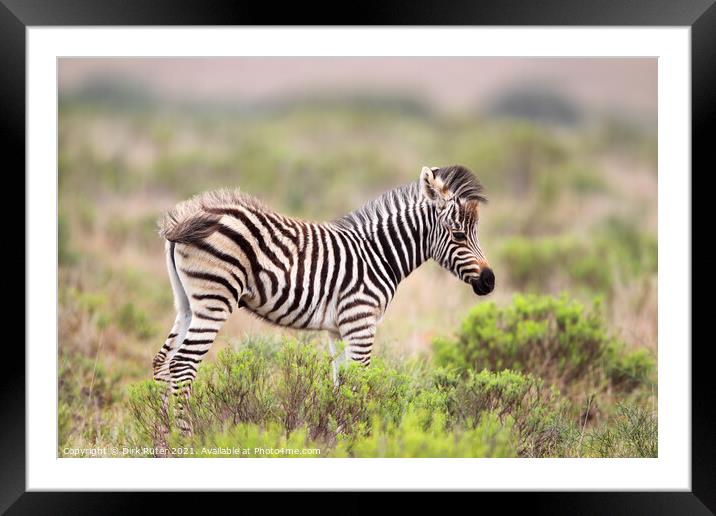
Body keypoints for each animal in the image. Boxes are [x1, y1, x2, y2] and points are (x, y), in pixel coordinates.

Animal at [154, 165, 496, 432]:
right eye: (459, 235)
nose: (490, 281)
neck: (379, 255)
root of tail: (186, 218)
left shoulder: (338, 329)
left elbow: (340, 384)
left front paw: (339, 434)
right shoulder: (360, 321)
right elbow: (360, 383)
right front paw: (359, 436)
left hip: (186, 304)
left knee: (162, 363)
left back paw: (162, 437)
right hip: (214, 301)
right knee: (182, 366)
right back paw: (186, 438)